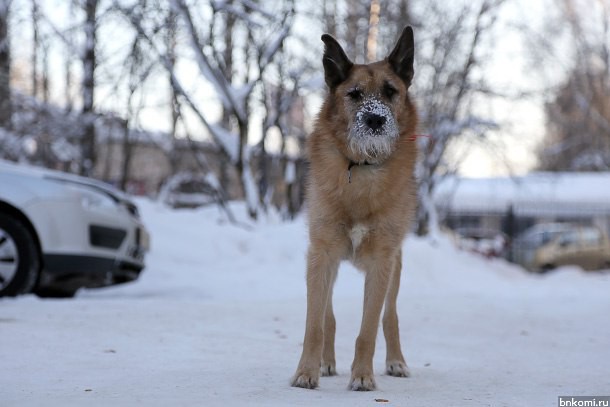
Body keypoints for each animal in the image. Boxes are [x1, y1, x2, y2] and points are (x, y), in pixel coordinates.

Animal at [290, 26, 418, 392]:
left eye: (390, 91)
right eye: (355, 94)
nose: (375, 119)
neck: (361, 167)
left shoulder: (381, 263)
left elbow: (368, 329)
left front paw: (362, 375)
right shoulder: (321, 256)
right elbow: (316, 324)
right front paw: (307, 372)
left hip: (395, 269)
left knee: (390, 315)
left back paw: (396, 361)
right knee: (328, 316)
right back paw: (326, 362)